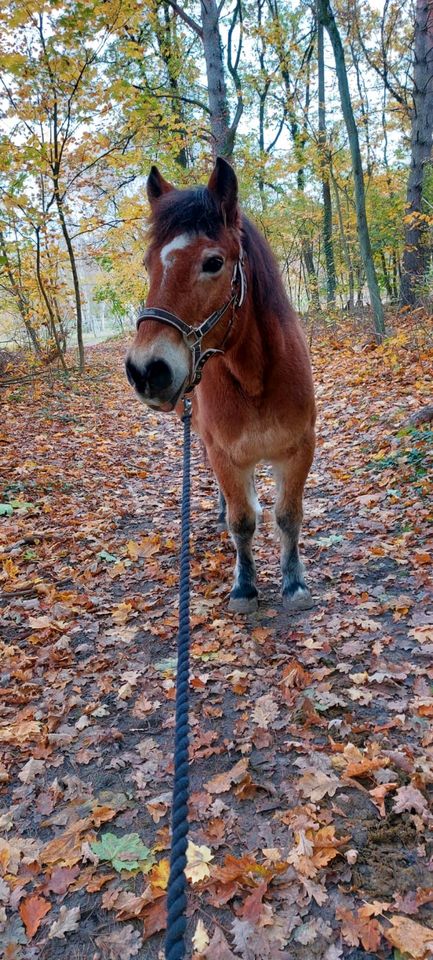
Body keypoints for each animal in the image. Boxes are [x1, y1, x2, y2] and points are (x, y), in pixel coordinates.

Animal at [125, 154, 314, 612]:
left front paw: (294, 582)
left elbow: (288, 516)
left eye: (213, 262)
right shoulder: (225, 455)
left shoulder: (299, 450)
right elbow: (242, 521)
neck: (256, 380)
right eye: (148, 264)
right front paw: (245, 586)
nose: (146, 370)